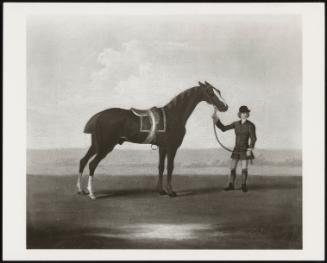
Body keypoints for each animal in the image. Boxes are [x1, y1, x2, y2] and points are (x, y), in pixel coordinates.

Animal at [78, 81, 229, 200]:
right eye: (210, 92)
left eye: (219, 91)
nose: (225, 107)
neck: (174, 115)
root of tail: (98, 117)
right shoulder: (172, 147)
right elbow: (170, 167)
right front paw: (171, 192)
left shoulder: (162, 147)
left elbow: (161, 167)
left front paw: (161, 191)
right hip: (105, 146)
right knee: (92, 164)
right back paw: (92, 194)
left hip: (96, 145)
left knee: (83, 161)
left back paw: (81, 190)